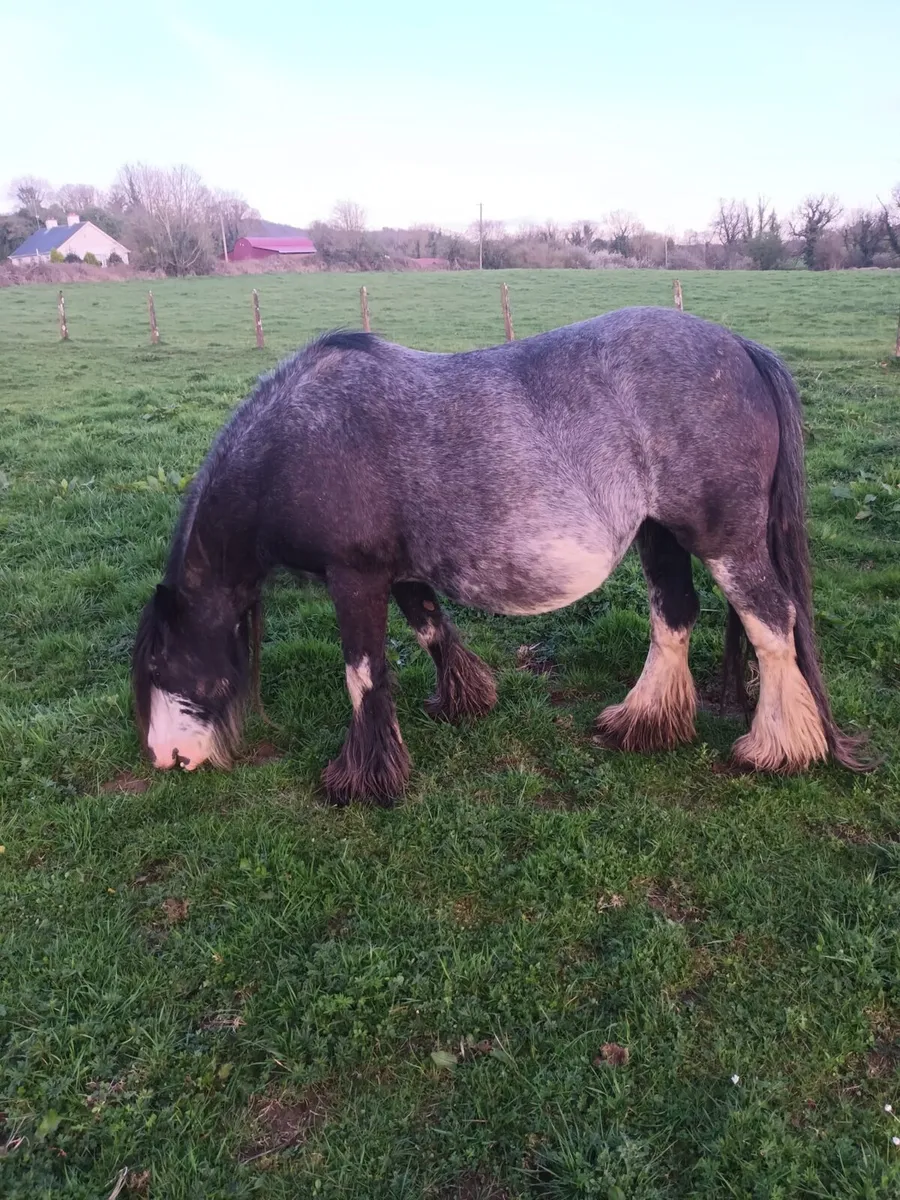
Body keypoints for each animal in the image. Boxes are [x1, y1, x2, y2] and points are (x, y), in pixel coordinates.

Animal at [132, 306, 868, 804]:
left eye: (161, 663)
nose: (167, 758)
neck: (298, 441)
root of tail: (739, 346)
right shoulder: (400, 571)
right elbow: (431, 629)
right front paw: (463, 700)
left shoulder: (355, 577)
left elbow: (363, 674)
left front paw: (363, 780)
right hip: (660, 535)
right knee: (675, 615)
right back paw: (643, 722)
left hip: (726, 543)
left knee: (772, 621)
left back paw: (777, 749)